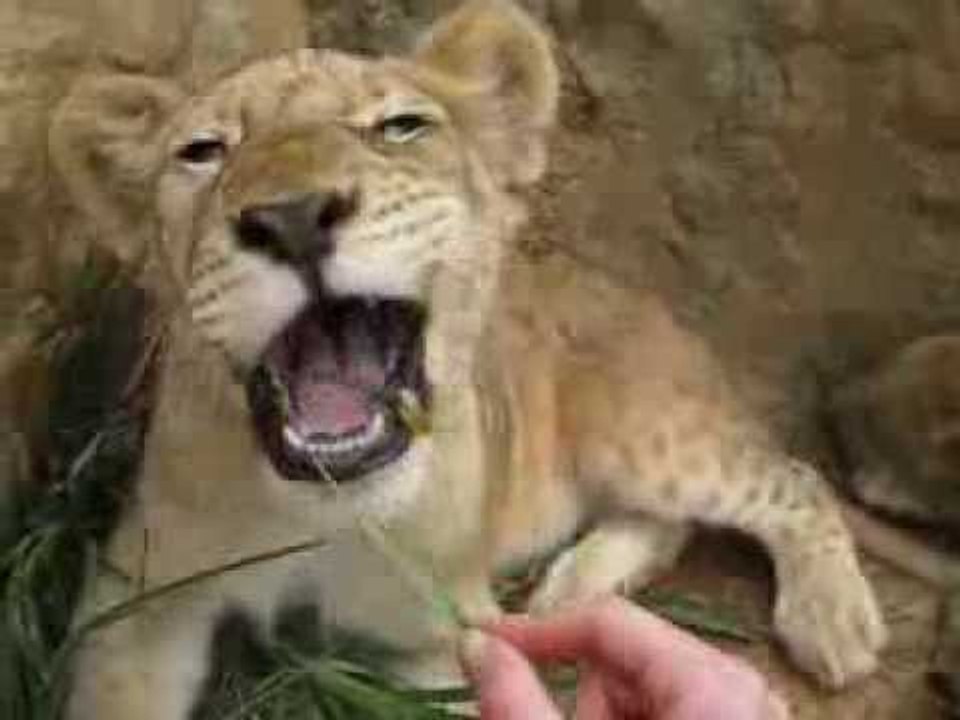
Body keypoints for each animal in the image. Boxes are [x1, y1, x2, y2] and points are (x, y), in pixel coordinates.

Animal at [48, 2, 892, 717]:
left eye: (400, 126)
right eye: (201, 152)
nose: (293, 217)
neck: (324, 514)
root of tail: (648, 303)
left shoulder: (441, 633)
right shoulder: (139, 598)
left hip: (644, 433)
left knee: (786, 481)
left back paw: (832, 618)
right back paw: (573, 590)